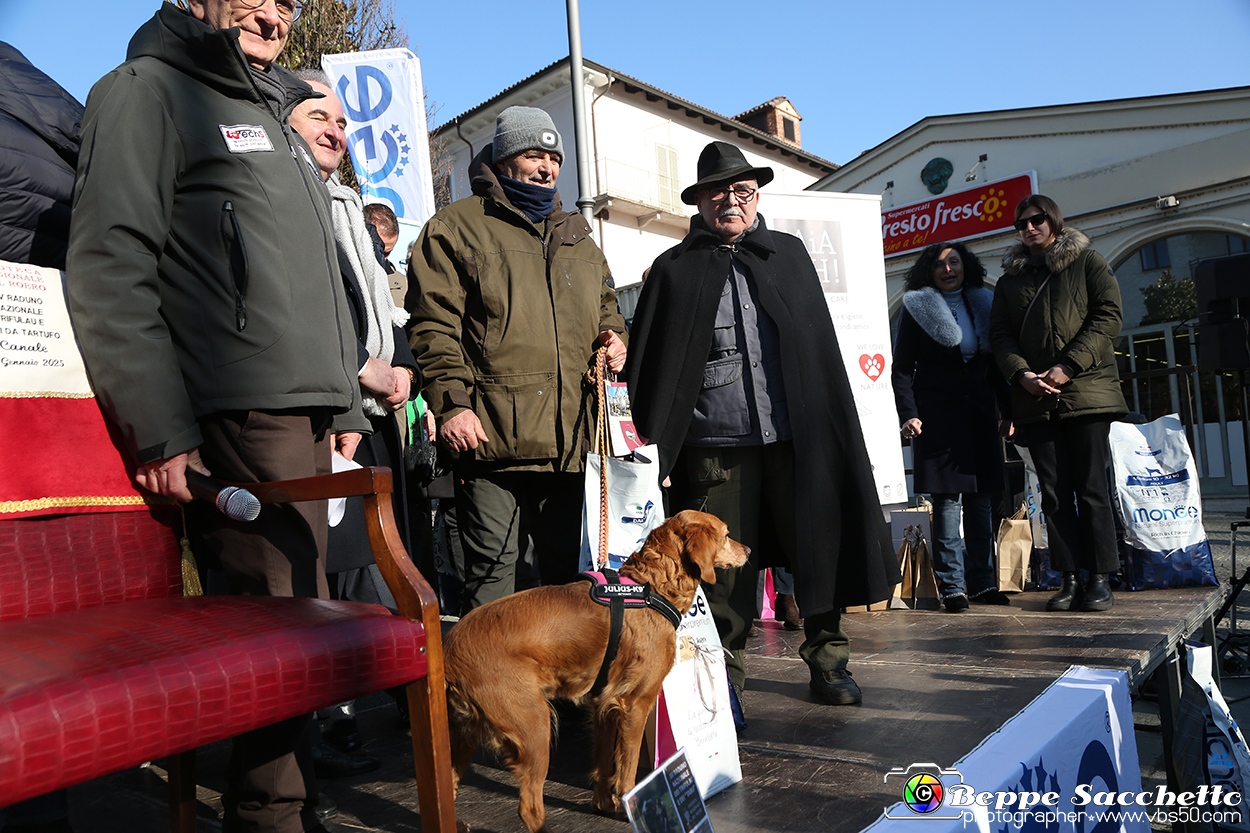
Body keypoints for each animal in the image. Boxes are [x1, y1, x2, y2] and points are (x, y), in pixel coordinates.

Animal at [445, 510, 745, 825]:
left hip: (463, 737)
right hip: (535, 726)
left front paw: (603, 804)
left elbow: (603, 762)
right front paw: (630, 808)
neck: (652, 588)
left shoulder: (604, 704)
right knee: (530, 807)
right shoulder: (636, 703)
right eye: (727, 534)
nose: (748, 550)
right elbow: (627, 766)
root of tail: (450, 648)